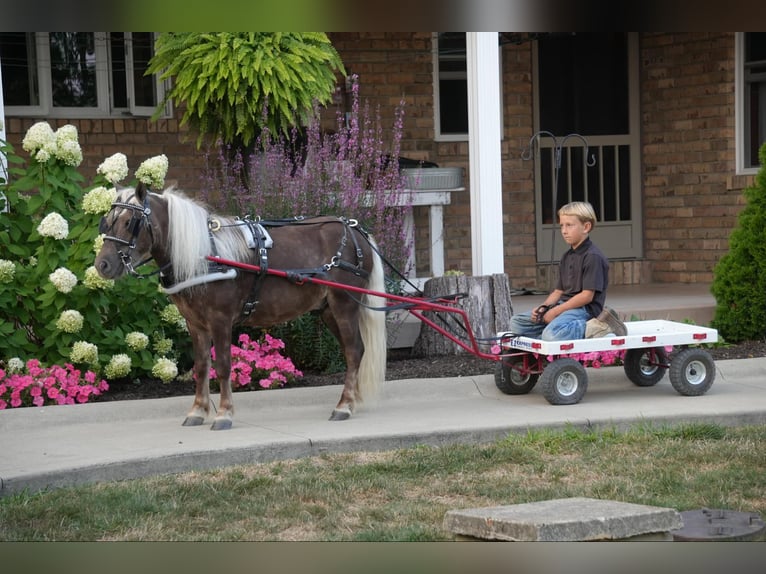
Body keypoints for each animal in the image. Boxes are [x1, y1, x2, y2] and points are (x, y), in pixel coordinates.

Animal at [93, 182, 388, 430]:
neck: (205, 256)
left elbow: (223, 365)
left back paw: (344, 406)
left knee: (353, 351)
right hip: (328, 311)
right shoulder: (195, 323)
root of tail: (357, 232)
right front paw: (197, 412)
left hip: (344, 305)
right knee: (355, 351)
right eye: (106, 222)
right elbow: (202, 366)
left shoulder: (220, 320)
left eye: (130, 222)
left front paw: (223, 414)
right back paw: (353, 400)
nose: (102, 265)